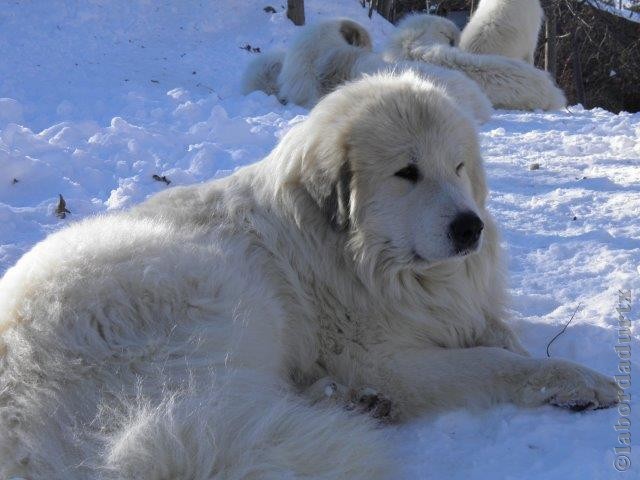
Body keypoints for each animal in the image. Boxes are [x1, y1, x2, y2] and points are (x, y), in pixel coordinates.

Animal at [1, 72, 620, 480]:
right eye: (407, 173)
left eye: (459, 167)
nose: (471, 228)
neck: (361, 258)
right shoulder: (383, 360)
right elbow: (495, 364)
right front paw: (577, 379)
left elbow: (495, 336)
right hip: (219, 292)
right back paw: (348, 403)